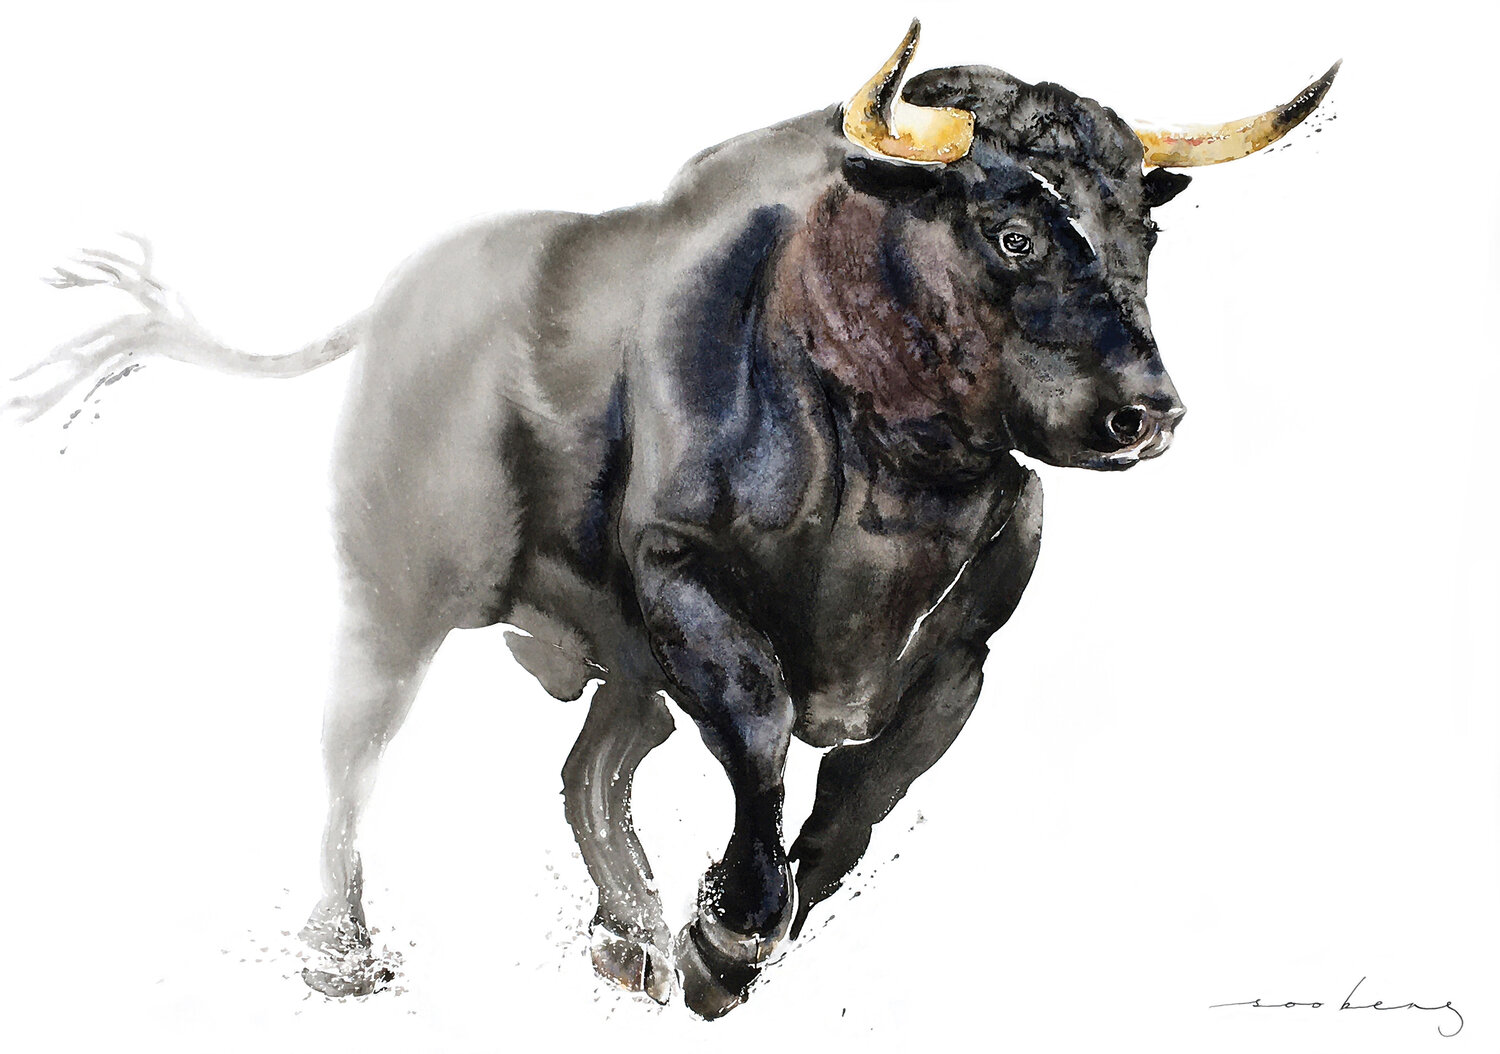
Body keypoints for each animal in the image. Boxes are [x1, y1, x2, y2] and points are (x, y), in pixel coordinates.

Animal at [7, 20, 1336, 1019]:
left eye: (1143, 230)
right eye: (1011, 229)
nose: (1144, 412)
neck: (897, 465)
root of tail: (406, 298)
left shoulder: (957, 661)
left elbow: (853, 809)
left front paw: (715, 953)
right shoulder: (685, 584)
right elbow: (760, 734)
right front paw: (730, 932)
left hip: (617, 659)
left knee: (594, 764)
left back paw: (630, 939)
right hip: (400, 599)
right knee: (354, 745)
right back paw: (344, 955)